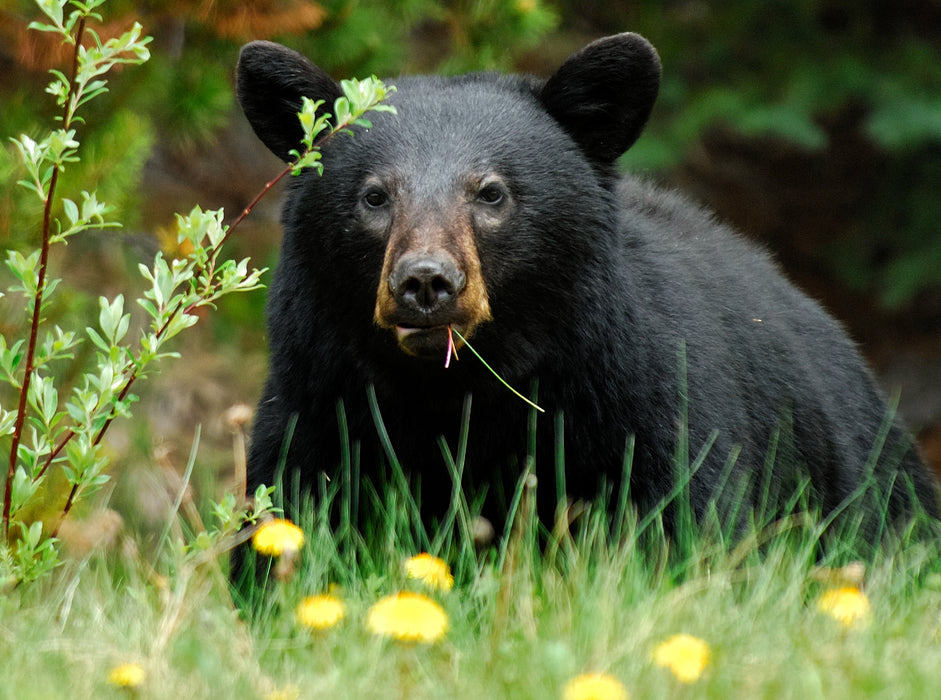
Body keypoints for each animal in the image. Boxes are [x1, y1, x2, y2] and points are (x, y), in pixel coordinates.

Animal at [235, 32, 932, 544]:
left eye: (492, 192)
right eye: (374, 196)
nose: (426, 282)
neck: (459, 393)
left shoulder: (649, 408)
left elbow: (687, 523)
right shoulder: (316, 405)